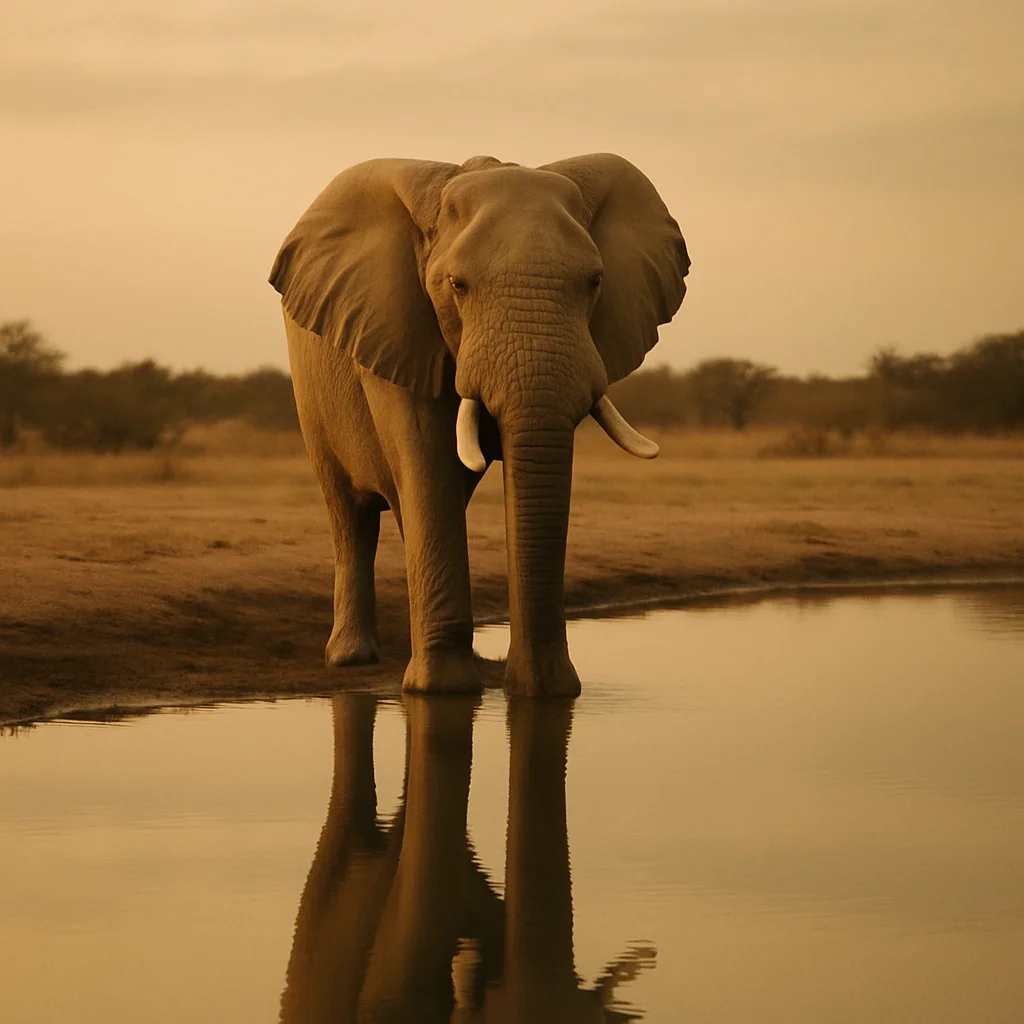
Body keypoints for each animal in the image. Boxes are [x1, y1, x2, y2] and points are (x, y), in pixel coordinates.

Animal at [269, 153, 689, 696]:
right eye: (457, 286)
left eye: (595, 282)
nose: (548, 686)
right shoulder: (395, 322)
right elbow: (426, 460)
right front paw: (440, 690)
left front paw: (539, 696)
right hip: (312, 400)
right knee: (350, 514)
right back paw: (351, 659)